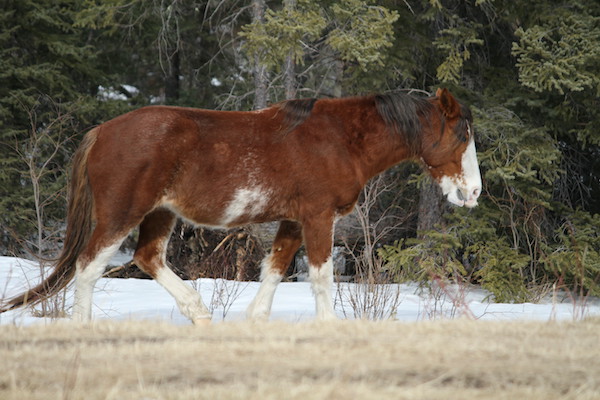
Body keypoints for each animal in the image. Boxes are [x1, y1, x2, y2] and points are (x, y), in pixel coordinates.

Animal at [0, 88, 480, 324]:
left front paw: (255, 321)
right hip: (121, 214)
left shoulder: (293, 219)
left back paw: (198, 313)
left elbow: (274, 270)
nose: (473, 193)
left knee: (147, 257)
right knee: (88, 267)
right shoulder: (318, 216)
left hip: (160, 213)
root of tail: (102, 130)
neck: (341, 139)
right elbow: (322, 278)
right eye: (462, 136)